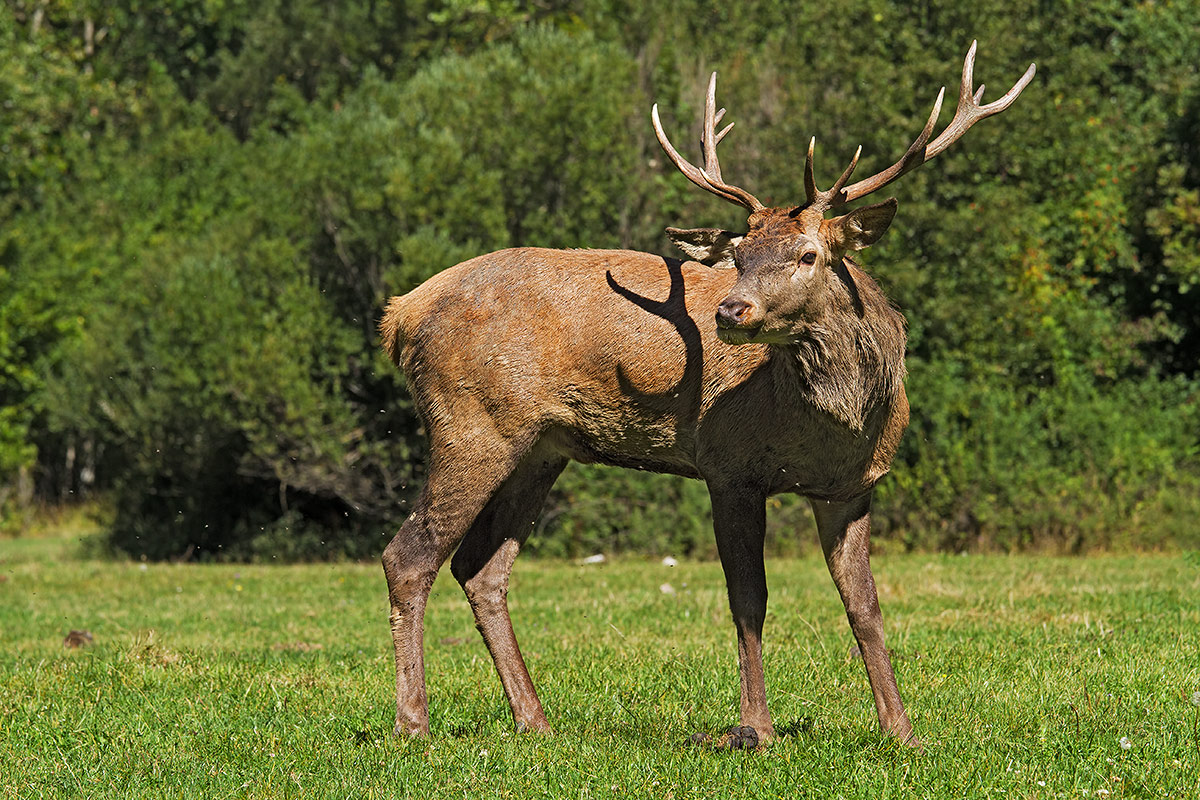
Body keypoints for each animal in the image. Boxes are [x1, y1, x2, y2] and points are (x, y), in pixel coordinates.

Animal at [378, 42, 1035, 748]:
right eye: (740, 256)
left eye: (809, 255)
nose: (730, 310)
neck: (837, 423)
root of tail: (402, 314)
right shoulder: (730, 466)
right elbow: (749, 600)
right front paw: (755, 728)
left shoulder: (851, 487)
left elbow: (864, 604)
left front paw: (900, 730)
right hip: (472, 423)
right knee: (409, 555)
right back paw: (413, 723)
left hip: (540, 449)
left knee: (481, 568)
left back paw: (536, 720)